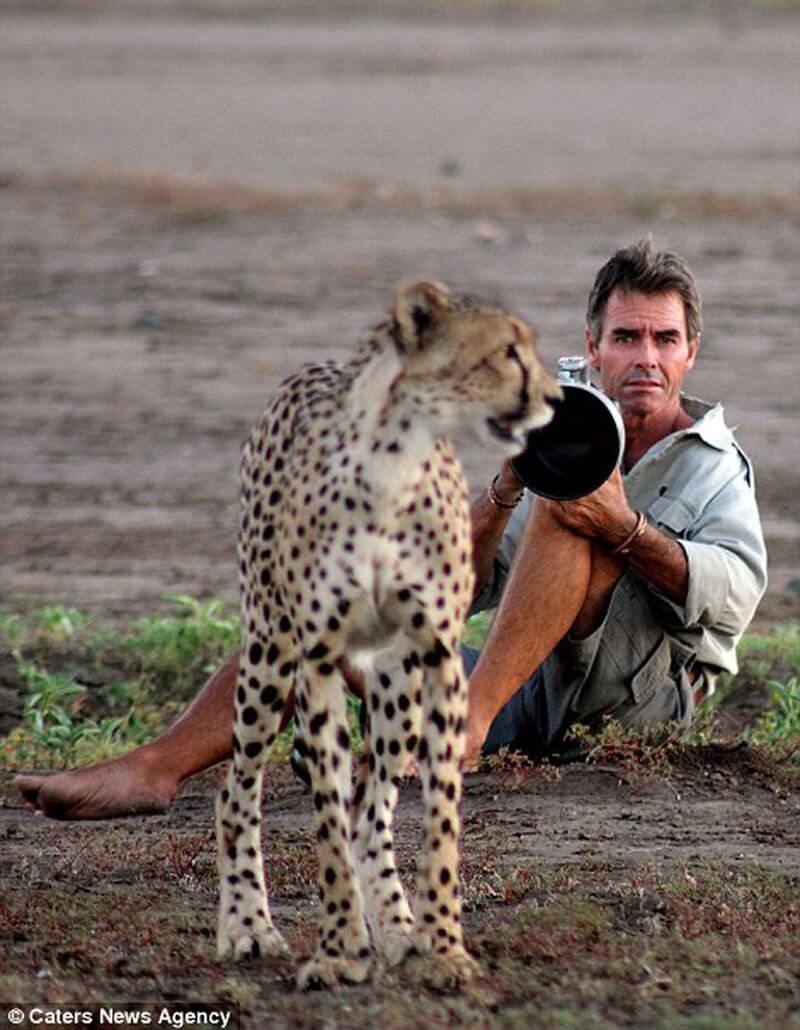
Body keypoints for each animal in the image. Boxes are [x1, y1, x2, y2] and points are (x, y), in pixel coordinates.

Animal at [215, 280, 560, 988]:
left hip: (396, 682)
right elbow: (326, 817)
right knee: (237, 790)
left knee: (371, 805)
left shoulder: (439, 656)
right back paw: (249, 927)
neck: (393, 466)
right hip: (268, 651)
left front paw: (443, 946)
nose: (555, 399)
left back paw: (401, 930)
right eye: (507, 351)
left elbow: (439, 820)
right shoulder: (317, 659)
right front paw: (339, 949)